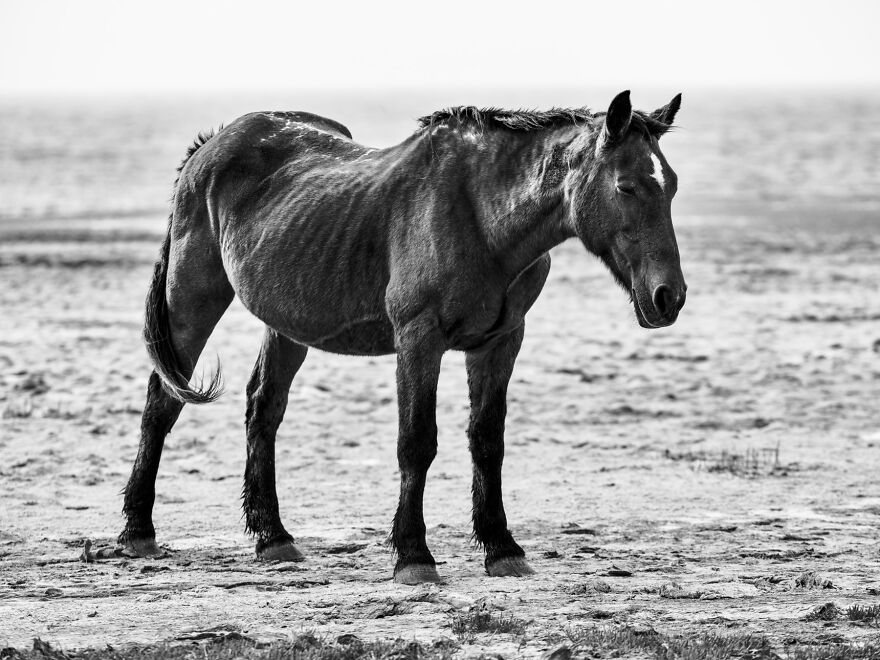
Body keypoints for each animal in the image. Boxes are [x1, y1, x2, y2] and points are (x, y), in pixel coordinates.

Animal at [118, 90, 686, 584]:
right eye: (626, 186)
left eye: (672, 185)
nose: (669, 297)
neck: (481, 217)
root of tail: (211, 144)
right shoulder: (419, 340)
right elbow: (416, 443)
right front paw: (414, 555)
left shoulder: (500, 342)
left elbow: (488, 442)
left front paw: (502, 548)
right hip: (191, 299)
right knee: (161, 404)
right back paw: (138, 531)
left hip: (287, 323)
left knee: (263, 409)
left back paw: (273, 537)